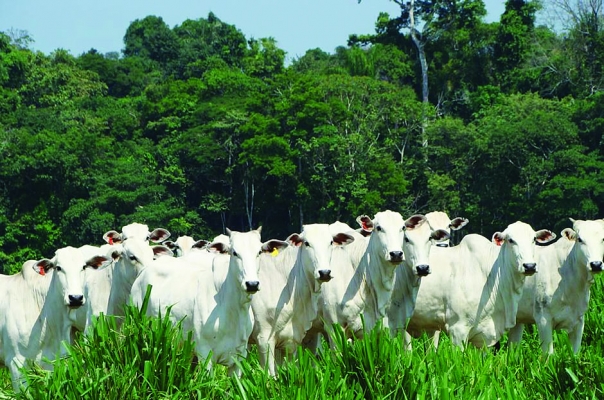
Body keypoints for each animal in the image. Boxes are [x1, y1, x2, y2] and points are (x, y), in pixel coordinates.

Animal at [131, 228, 286, 376]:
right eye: (234, 253)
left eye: (259, 252)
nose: (252, 284)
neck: (232, 310)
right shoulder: (205, 354)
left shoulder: (239, 356)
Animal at [510, 219, 604, 354]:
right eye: (580, 239)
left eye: (603, 239)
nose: (596, 264)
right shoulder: (543, 319)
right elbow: (549, 354)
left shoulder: (579, 320)